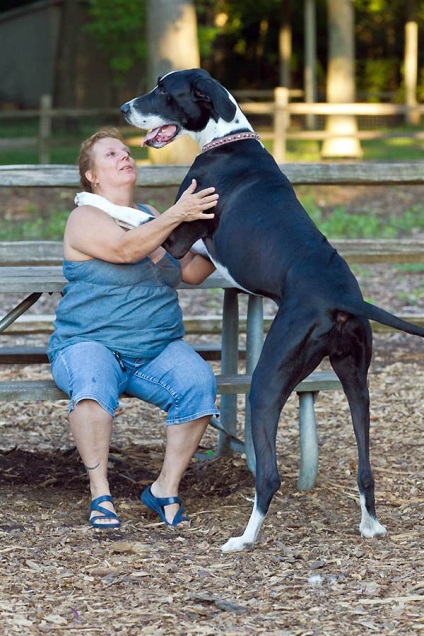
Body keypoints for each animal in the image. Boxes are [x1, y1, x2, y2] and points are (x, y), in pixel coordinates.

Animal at [121, 68, 422, 552]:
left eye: (165, 91)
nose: (124, 109)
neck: (225, 138)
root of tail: (342, 298)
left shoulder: (180, 236)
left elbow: (135, 216)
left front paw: (87, 202)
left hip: (266, 382)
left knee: (270, 476)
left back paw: (243, 539)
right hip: (356, 379)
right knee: (365, 465)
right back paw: (370, 525)